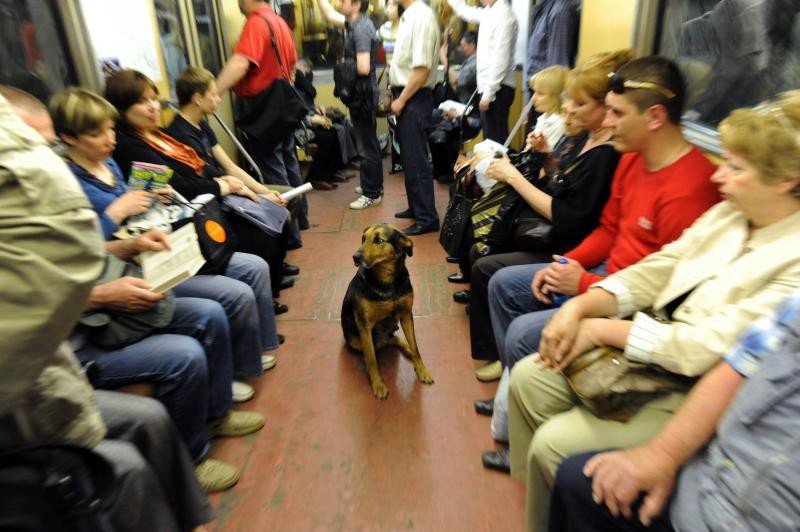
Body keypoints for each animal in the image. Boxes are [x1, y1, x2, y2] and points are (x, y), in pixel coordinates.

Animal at [340, 221, 434, 400]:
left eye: (378, 240)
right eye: (363, 239)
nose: (355, 257)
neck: (387, 280)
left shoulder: (406, 315)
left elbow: (415, 347)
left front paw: (422, 369)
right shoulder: (364, 325)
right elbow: (371, 359)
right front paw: (378, 384)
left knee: (396, 340)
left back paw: (407, 350)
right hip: (356, 341)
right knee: (373, 349)